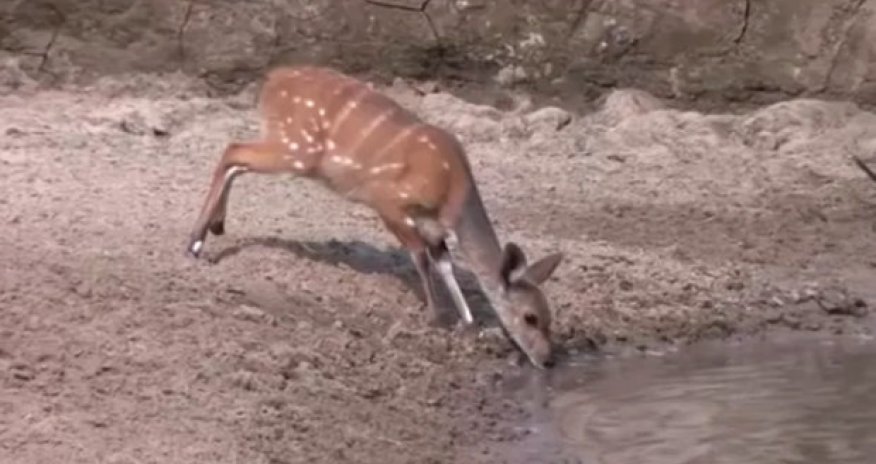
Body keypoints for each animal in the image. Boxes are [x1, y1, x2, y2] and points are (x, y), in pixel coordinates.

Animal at [186, 65, 564, 369]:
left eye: (549, 317)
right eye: (530, 317)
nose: (547, 360)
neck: (452, 194)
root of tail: (271, 80)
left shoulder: (434, 229)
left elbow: (445, 265)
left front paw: (468, 324)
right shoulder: (388, 201)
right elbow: (420, 257)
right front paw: (435, 317)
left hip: (290, 148)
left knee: (237, 158)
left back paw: (215, 227)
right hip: (299, 150)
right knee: (233, 150)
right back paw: (195, 243)